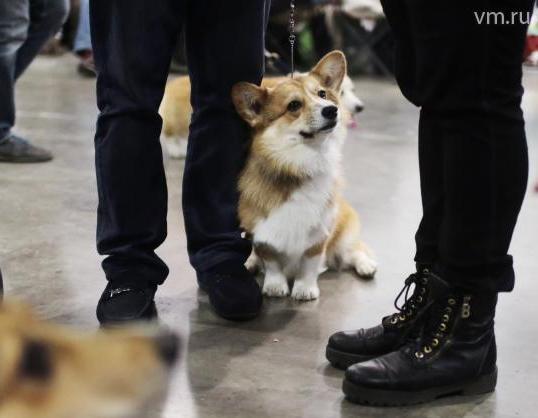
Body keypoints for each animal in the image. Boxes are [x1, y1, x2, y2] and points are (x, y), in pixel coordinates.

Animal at [157, 68, 362, 160]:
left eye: (353, 90)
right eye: (343, 92)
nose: (361, 107)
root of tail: (172, 83)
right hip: (176, 121)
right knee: (168, 134)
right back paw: (177, 151)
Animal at [231, 51, 376, 300]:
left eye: (322, 94)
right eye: (294, 105)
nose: (331, 110)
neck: (299, 163)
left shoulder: (319, 234)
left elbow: (309, 263)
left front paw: (304, 290)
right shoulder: (262, 232)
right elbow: (271, 262)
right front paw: (275, 287)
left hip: (344, 234)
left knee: (354, 250)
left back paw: (366, 266)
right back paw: (250, 262)